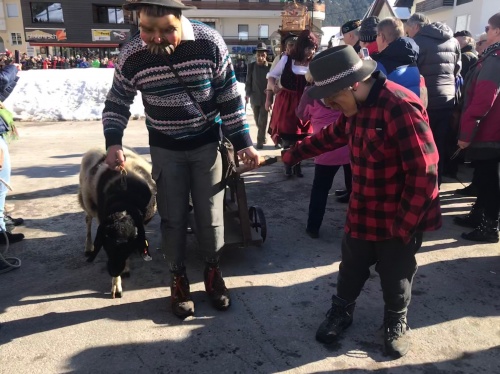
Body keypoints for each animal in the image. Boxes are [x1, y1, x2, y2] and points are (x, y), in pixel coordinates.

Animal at [77, 147, 156, 298]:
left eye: (128, 244)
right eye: (106, 244)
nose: (113, 271)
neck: (124, 201)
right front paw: (116, 285)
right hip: (87, 201)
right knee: (88, 221)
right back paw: (88, 247)